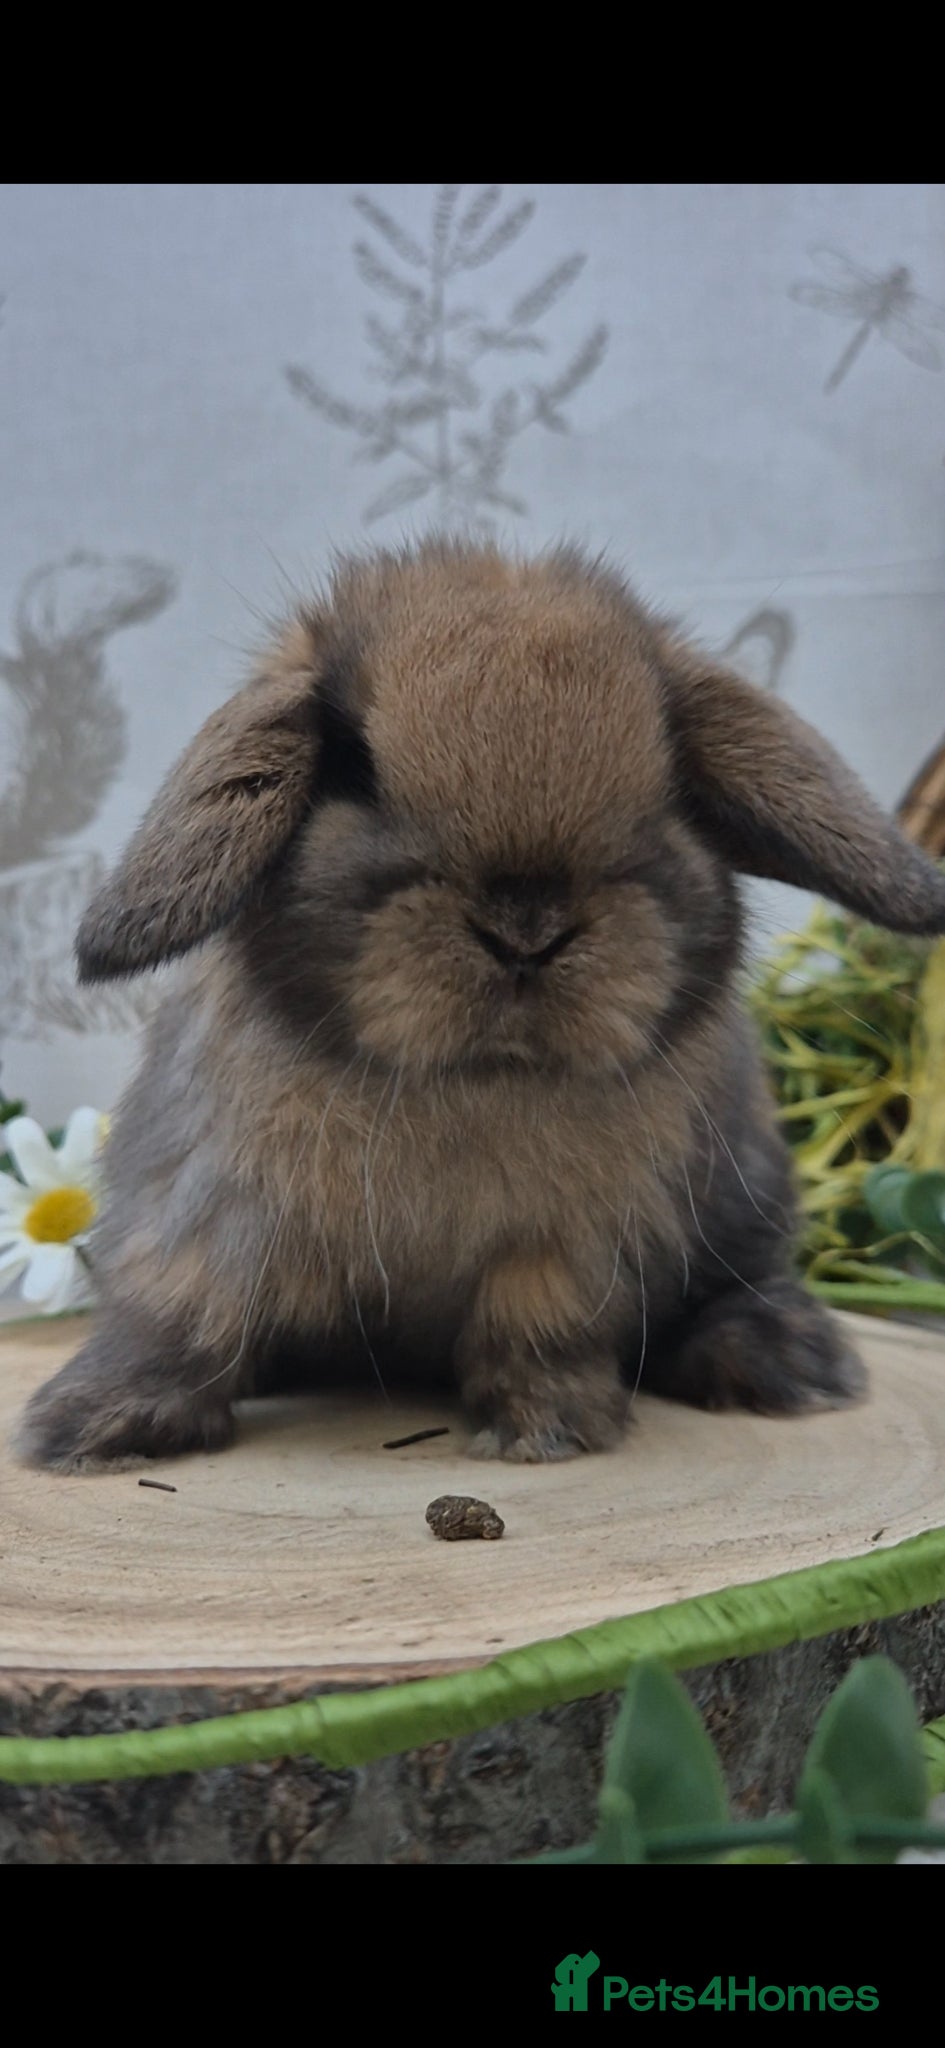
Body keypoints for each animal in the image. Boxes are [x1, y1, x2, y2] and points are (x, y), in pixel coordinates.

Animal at [15, 539, 945, 1473]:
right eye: (355, 769)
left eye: (669, 784)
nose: (526, 928)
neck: (469, 1079)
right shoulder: (205, 1211)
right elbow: (178, 1313)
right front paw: (89, 1430)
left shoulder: (565, 1246)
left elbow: (535, 1329)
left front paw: (546, 1432)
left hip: (742, 1190)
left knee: (747, 1281)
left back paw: (791, 1364)